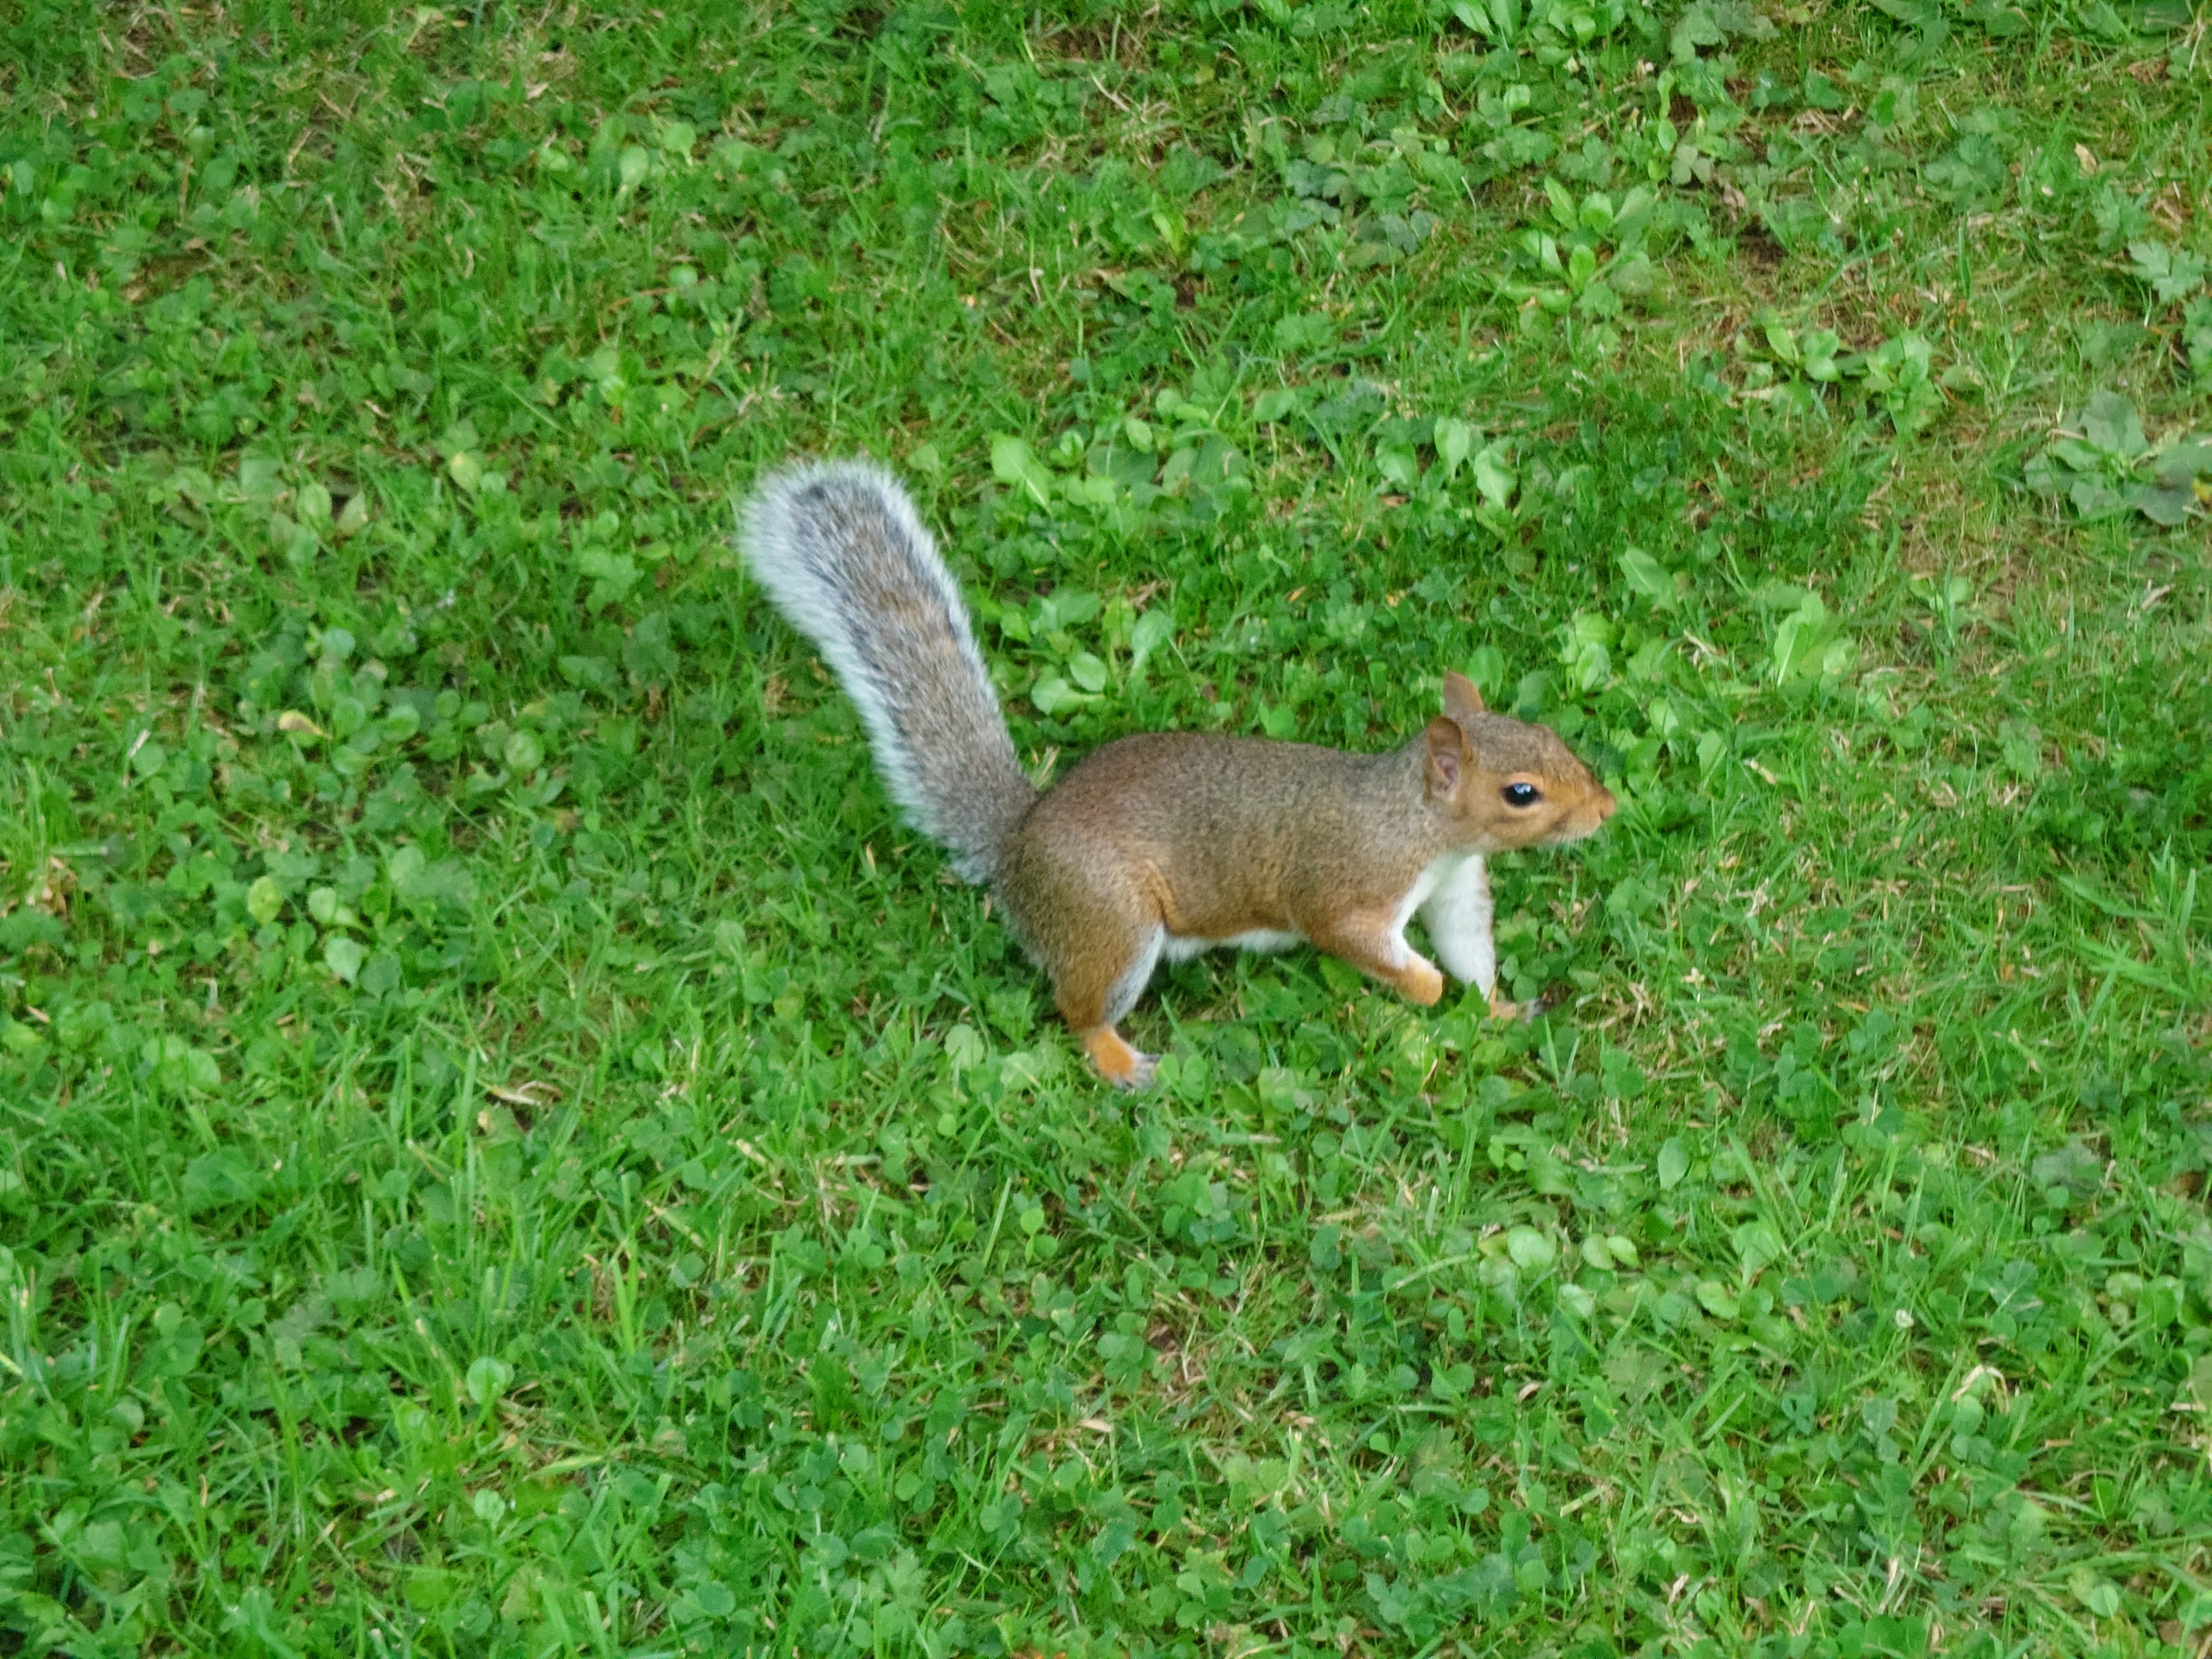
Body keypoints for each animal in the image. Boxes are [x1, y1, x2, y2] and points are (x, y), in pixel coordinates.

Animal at [734, 462, 1619, 1097]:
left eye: (1551, 735)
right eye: (1521, 792)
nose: (1607, 810)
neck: (1420, 826)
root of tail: (1018, 844)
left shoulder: (1454, 888)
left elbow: (1470, 950)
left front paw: (1497, 1006)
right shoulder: (1347, 886)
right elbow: (1354, 938)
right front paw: (1427, 990)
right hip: (1112, 919)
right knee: (1078, 1009)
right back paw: (1121, 1062)